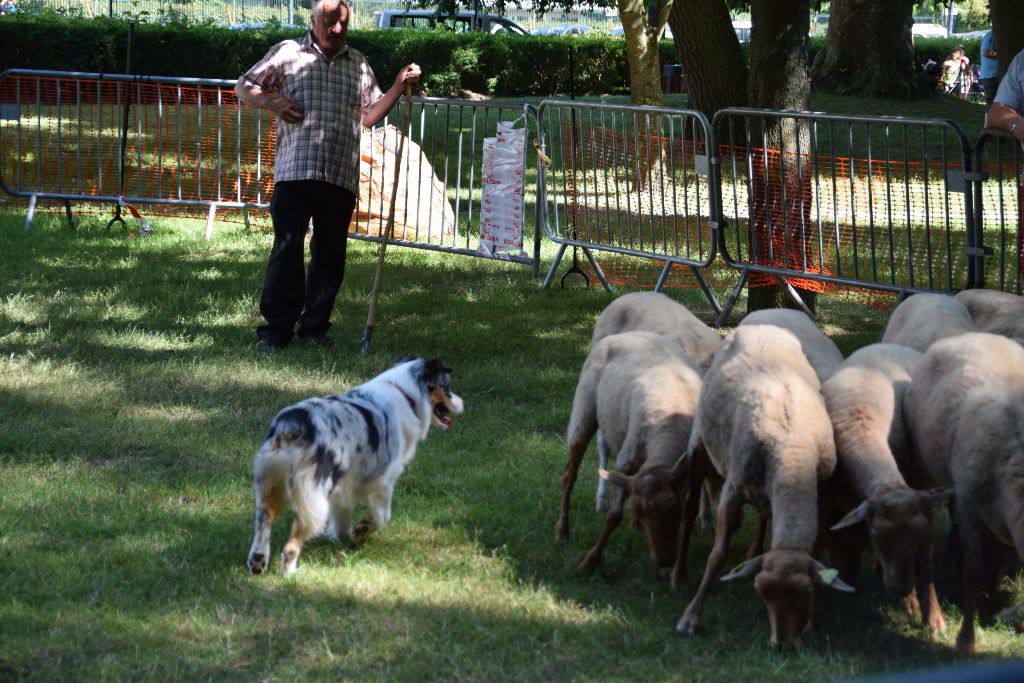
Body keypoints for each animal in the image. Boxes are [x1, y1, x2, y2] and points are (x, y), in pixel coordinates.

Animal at [245, 358, 462, 577]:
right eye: (446, 387)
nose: (463, 403)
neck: (407, 393)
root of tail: (292, 427)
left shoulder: (343, 487)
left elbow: (343, 519)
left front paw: (345, 540)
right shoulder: (384, 482)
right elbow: (383, 517)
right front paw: (361, 530)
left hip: (270, 485)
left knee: (264, 519)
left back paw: (258, 561)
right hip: (313, 499)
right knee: (291, 543)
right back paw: (289, 573)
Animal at [557, 331, 700, 581]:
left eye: (673, 505)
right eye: (638, 509)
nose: (664, 559)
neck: (670, 429)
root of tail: (627, 334)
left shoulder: (696, 469)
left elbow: (689, 517)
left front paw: (676, 572)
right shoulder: (626, 459)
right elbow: (614, 516)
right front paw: (590, 561)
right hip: (584, 409)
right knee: (569, 475)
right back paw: (563, 531)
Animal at [675, 323, 851, 651]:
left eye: (805, 594)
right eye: (762, 593)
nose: (782, 645)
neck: (792, 453)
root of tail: (761, 325)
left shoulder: (822, 492)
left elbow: (817, 547)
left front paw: (811, 624)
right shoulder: (732, 491)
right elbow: (717, 555)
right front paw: (691, 616)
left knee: (763, 513)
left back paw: (753, 551)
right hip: (699, 443)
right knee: (690, 509)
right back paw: (679, 574)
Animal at [819, 344, 946, 634]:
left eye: (914, 539)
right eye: (877, 536)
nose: (901, 589)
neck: (860, 430)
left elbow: (925, 562)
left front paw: (928, 613)